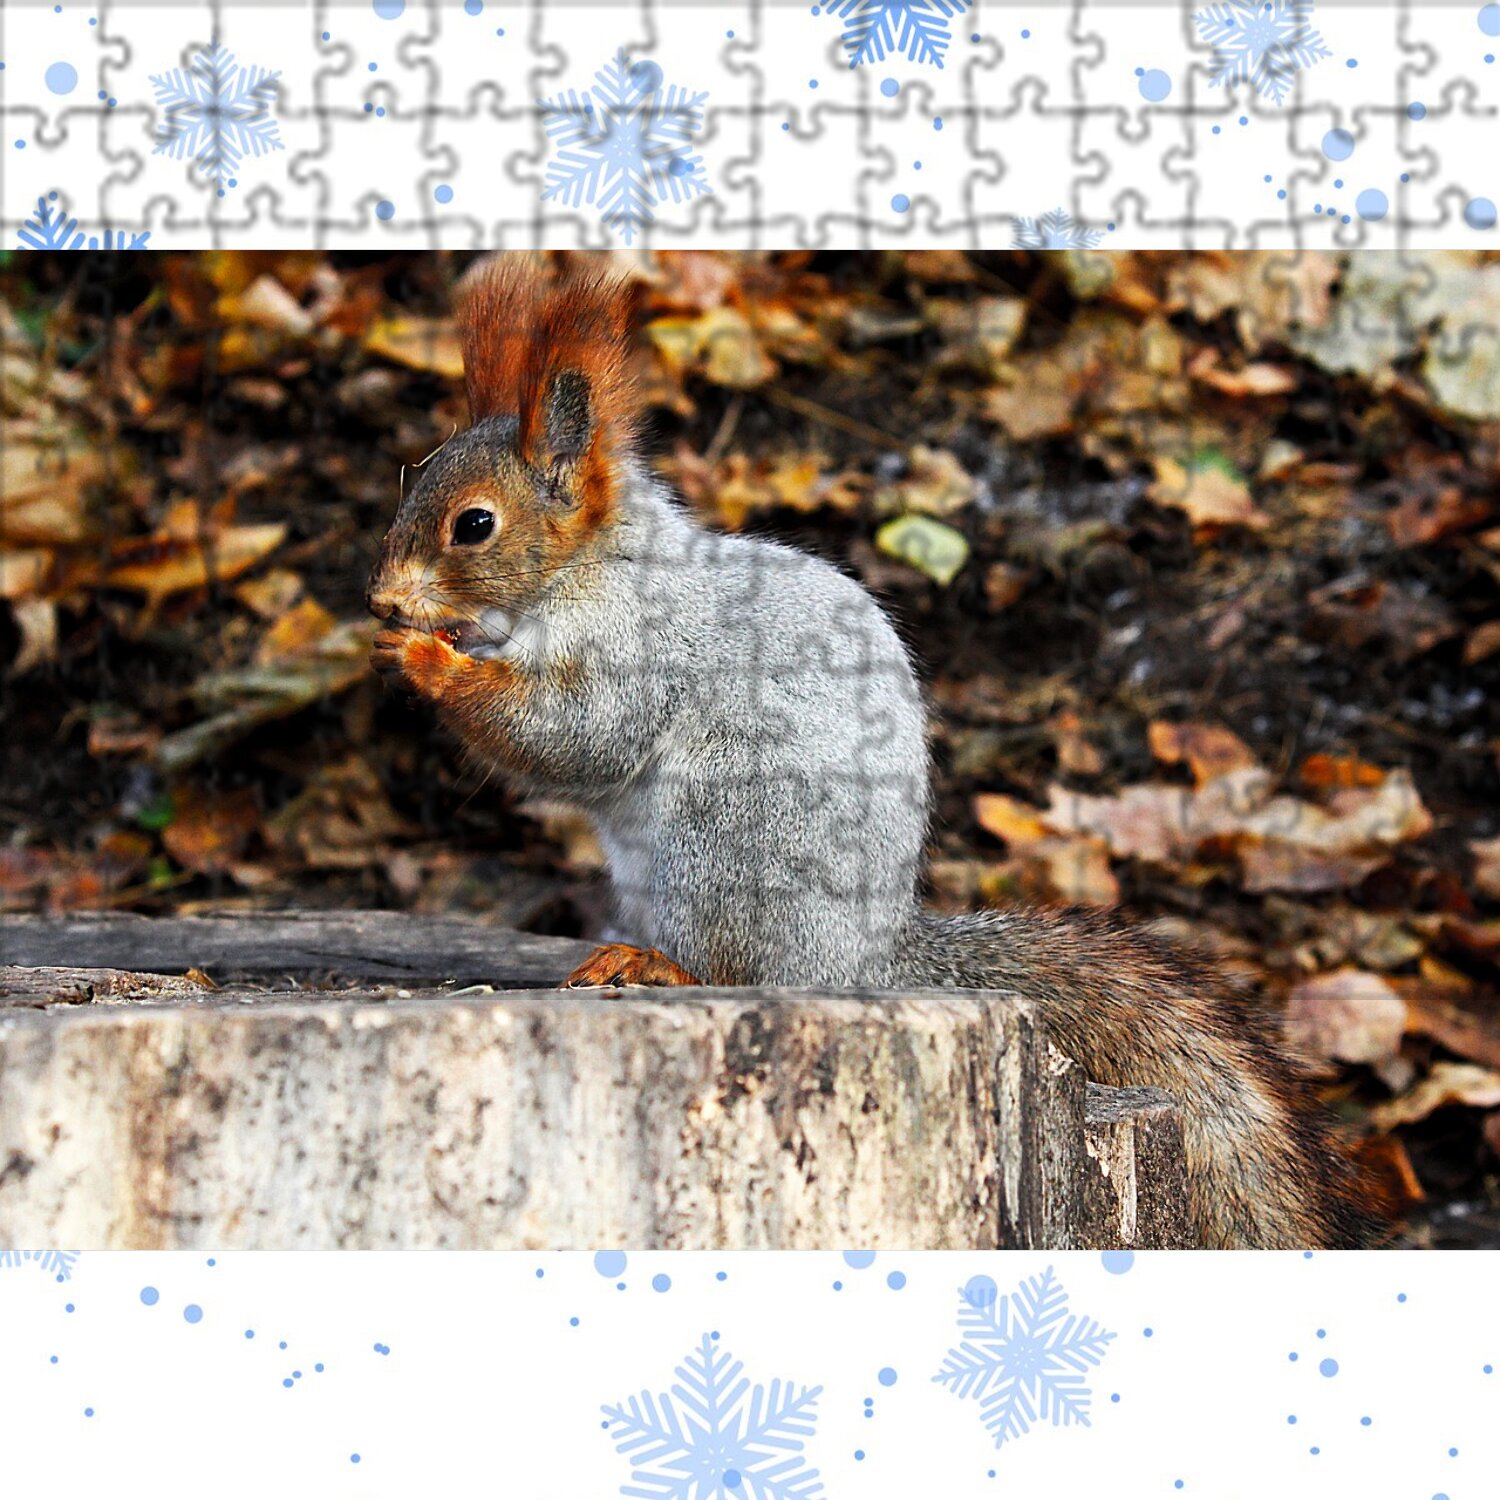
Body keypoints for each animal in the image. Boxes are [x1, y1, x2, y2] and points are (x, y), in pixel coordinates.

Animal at [367, 257, 1382, 1250]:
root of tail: (868, 962)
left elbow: (580, 733)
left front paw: (427, 659)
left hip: (721, 841)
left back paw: (658, 968)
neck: (584, 572)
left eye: (474, 524)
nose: (380, 600)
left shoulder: (638, 644)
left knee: (739, 970)